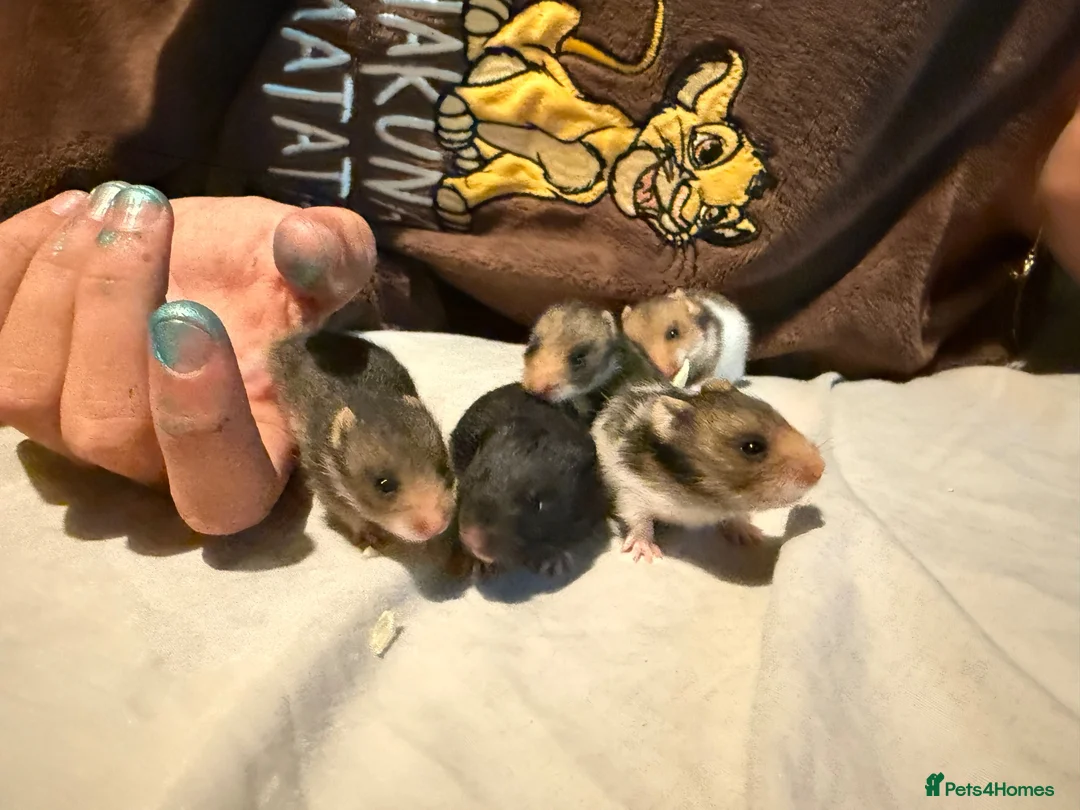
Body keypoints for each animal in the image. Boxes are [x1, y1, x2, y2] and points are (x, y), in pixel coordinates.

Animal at [268, 329, 455, 546]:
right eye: (384, 484)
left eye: (444, 468)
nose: (437, 527)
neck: (369, 397)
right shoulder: (323, 475)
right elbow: (346, 511)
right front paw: (370, 535)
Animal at [591, 377, 824, 562]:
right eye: (751, 447)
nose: (821, 468)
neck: (703, 500)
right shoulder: (632, 491)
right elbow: (639, 520)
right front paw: (646, 551)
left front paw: (749, 535)